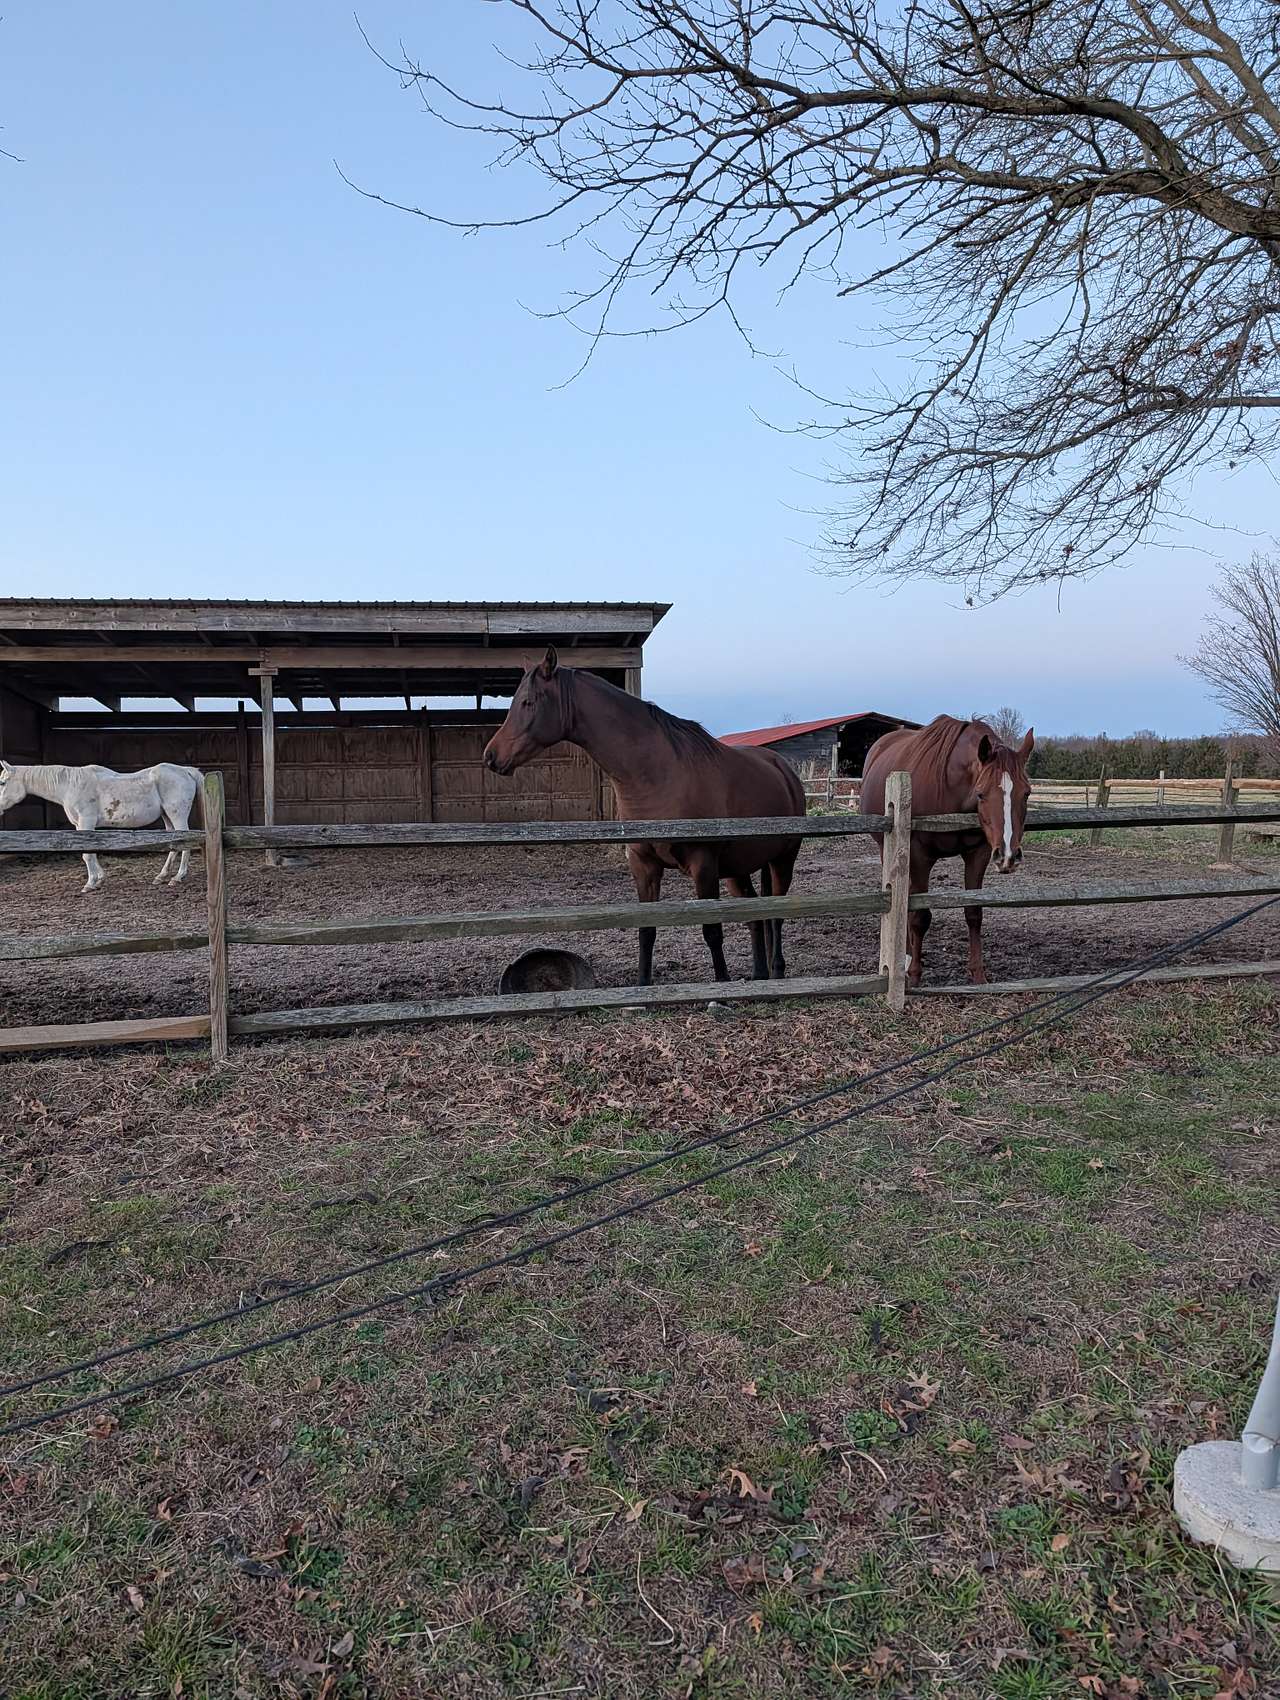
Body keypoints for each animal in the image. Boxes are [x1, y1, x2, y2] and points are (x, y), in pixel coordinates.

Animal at [0, 761, 204, 892]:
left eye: (2, 782)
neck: (70, 785)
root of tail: (186, 771)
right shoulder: (80, 826)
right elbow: (90, 852)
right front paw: (99, 880)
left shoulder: (86, 821)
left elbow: (87, 854)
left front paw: (90, 884)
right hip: (167, 817)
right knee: (174, 845)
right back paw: (161, 877)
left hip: (177, 815)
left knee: (185, 845)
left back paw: (177, 878)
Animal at [483, 649, 806, 985]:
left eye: (528, 702)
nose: (491, 756)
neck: (660, 775)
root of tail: (782, 767)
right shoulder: (644, 864)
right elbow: (646, 930)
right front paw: (642, 986)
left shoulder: (703, 864)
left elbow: (712, 932)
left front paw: (722, 986)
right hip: (735, 869)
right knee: (755, 916)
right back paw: (759, 974)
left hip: (782, 860)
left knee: (778, 914)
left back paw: (776, 971)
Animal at [861, 716, 1034, 986]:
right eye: (981, 794)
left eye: (1026, 793)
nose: (1008, 855)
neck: (951, 788)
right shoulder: (920, 857)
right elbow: (920, 916)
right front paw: (914, 975)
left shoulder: (979, 854)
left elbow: (973, 912)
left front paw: (978, 975)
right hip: (888, 851)